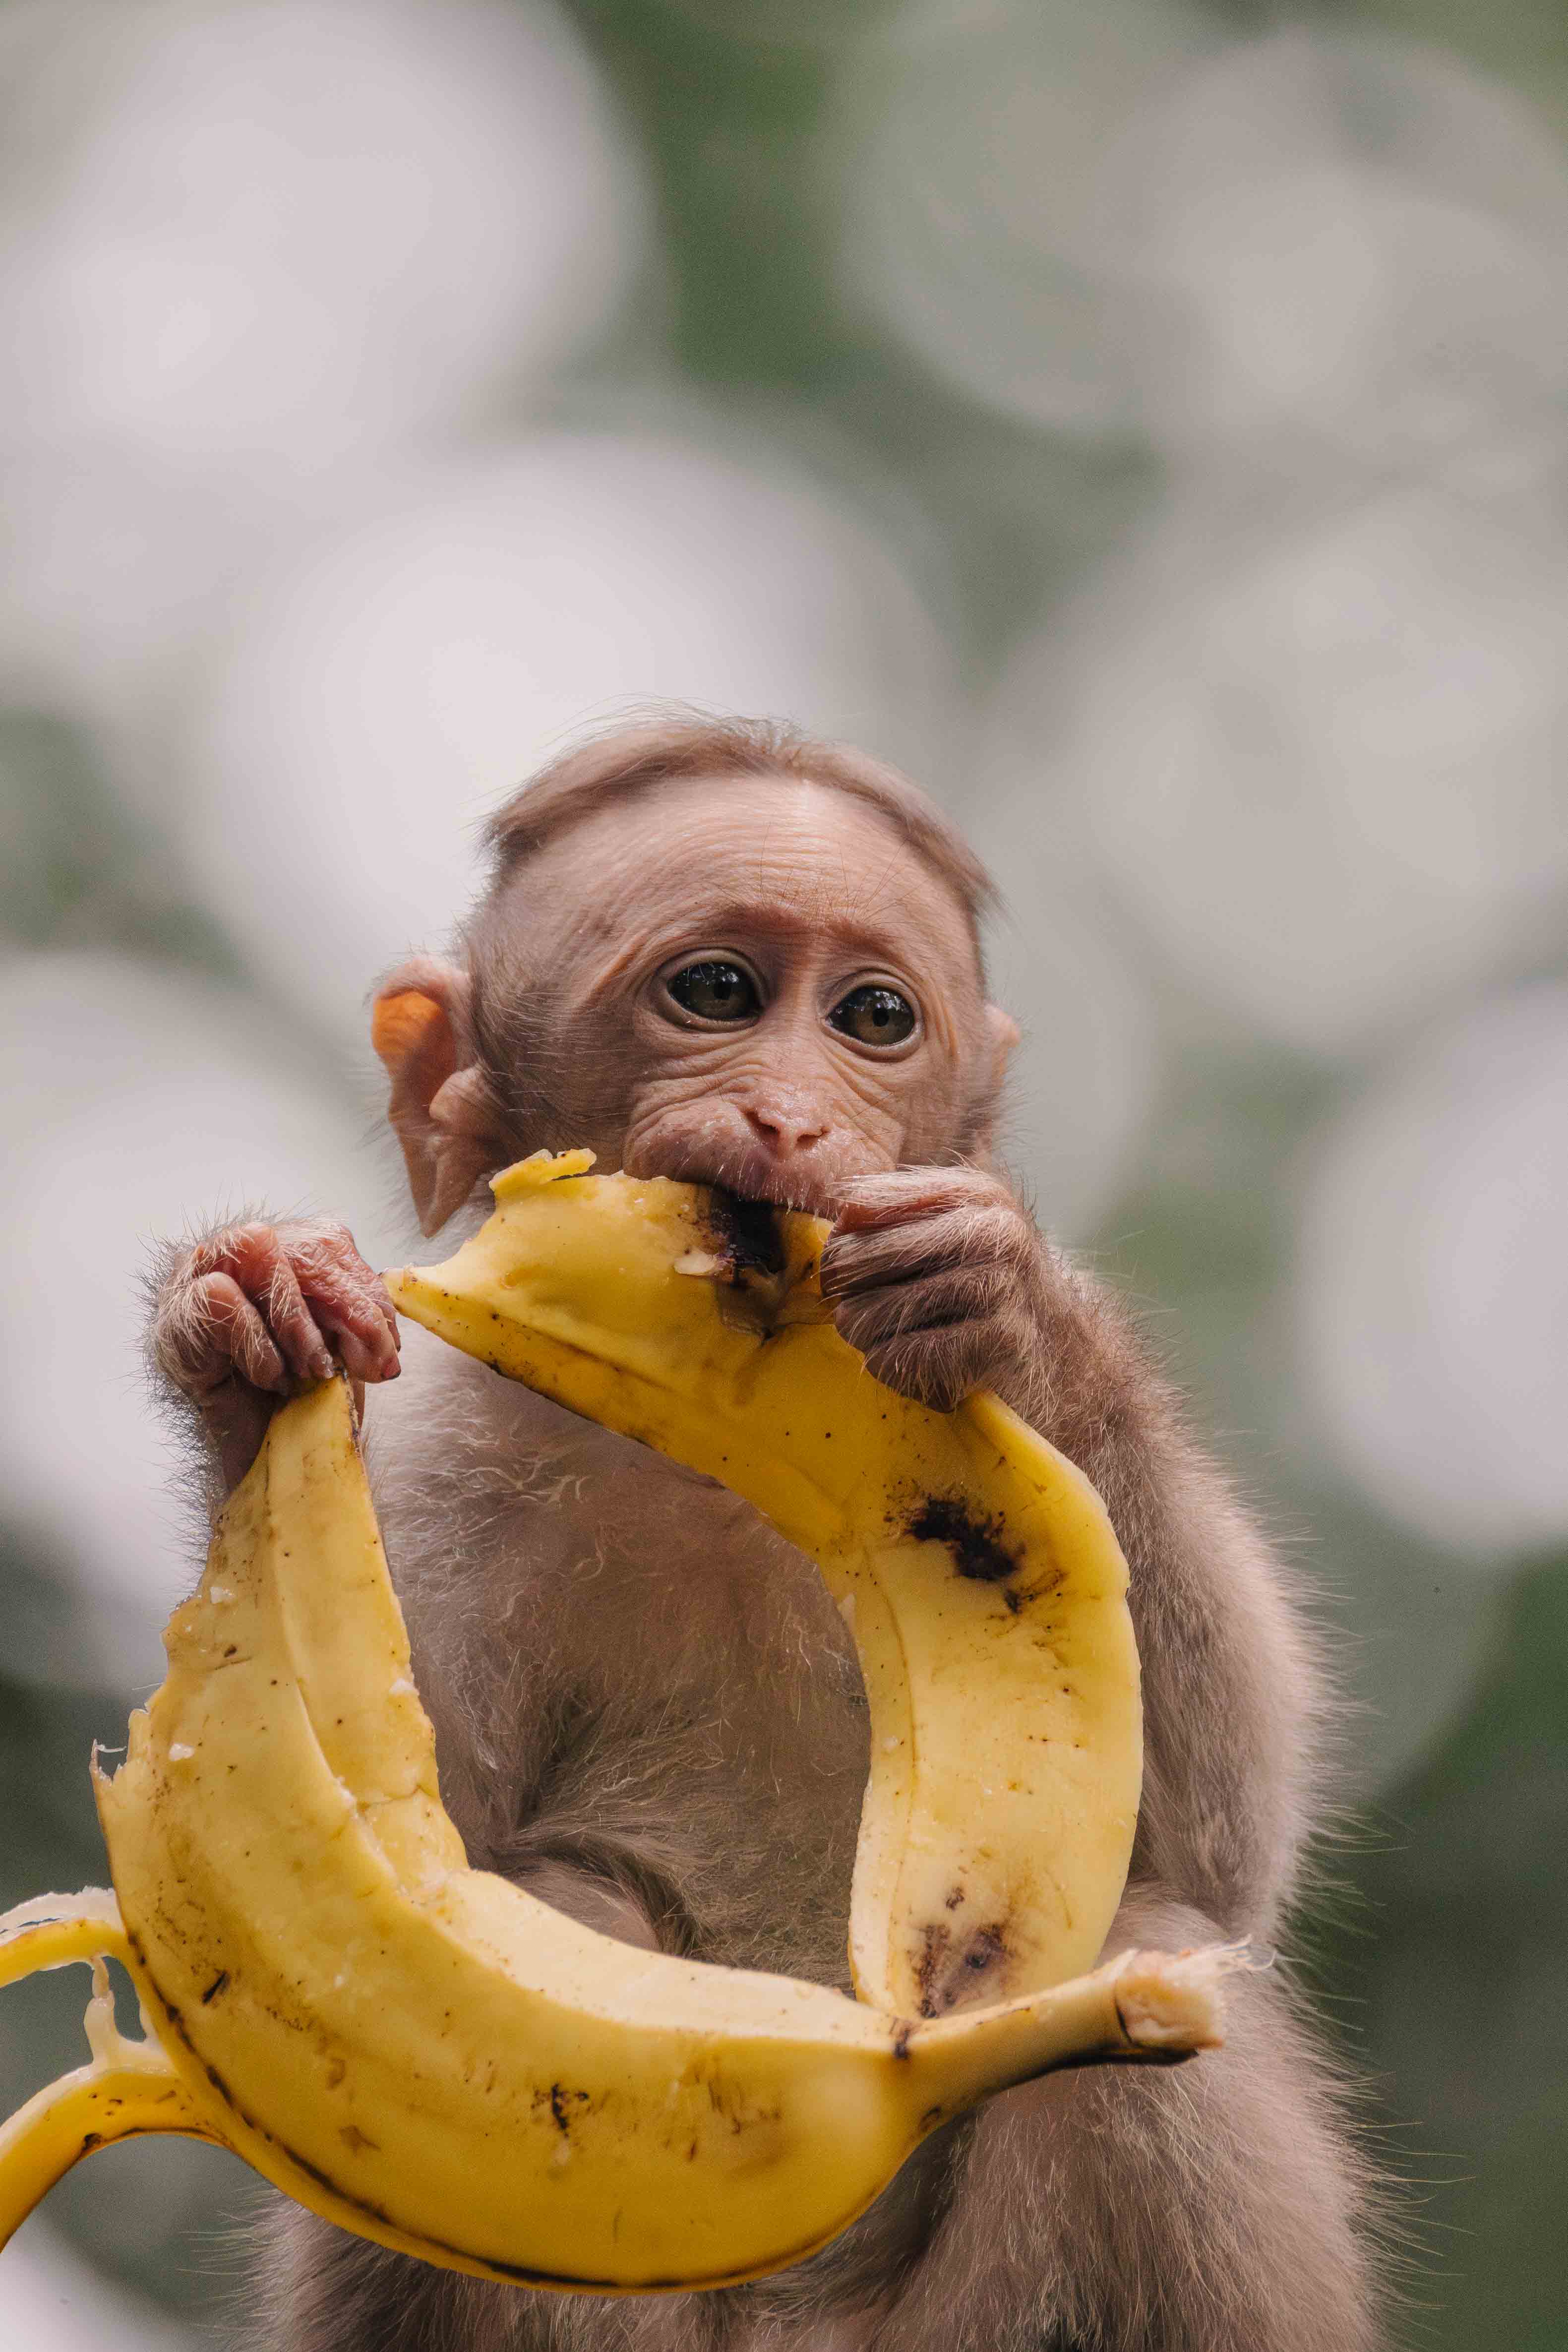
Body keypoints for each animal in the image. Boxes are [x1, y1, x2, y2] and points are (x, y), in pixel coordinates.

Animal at [149, 715, 1384, 2352]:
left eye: (872, 1017)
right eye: (719, 993)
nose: (791, 1112)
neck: (712, 1467)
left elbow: (1225, 1843)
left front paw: (1005, 1295)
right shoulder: (453, 1476)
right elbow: (366, 1899)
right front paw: (249, 1332)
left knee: (1152, 1982)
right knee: (541, 1919)